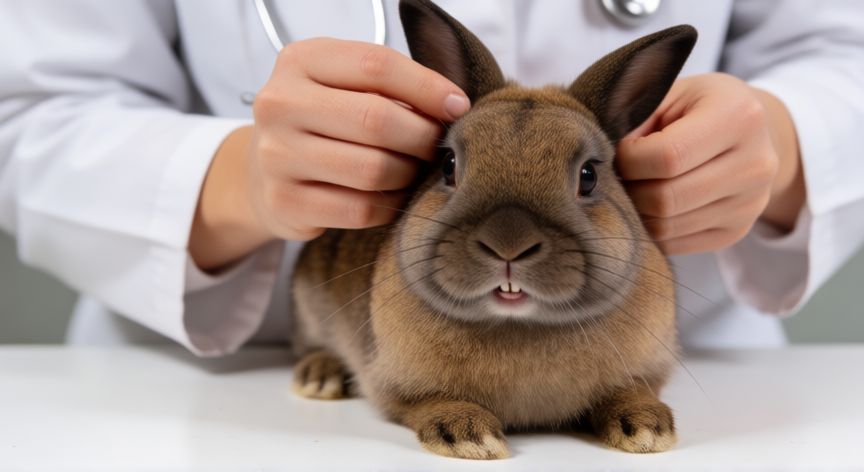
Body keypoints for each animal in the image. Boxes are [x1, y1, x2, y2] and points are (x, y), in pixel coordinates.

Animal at [289, 0, 697, 460]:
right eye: (448, 165)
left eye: (589, 176)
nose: (508, 244)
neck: (520, 325)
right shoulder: (397, 385)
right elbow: (428, 402)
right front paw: (470, 436)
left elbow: (631, 392)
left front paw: (647, 429)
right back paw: (318, 376)